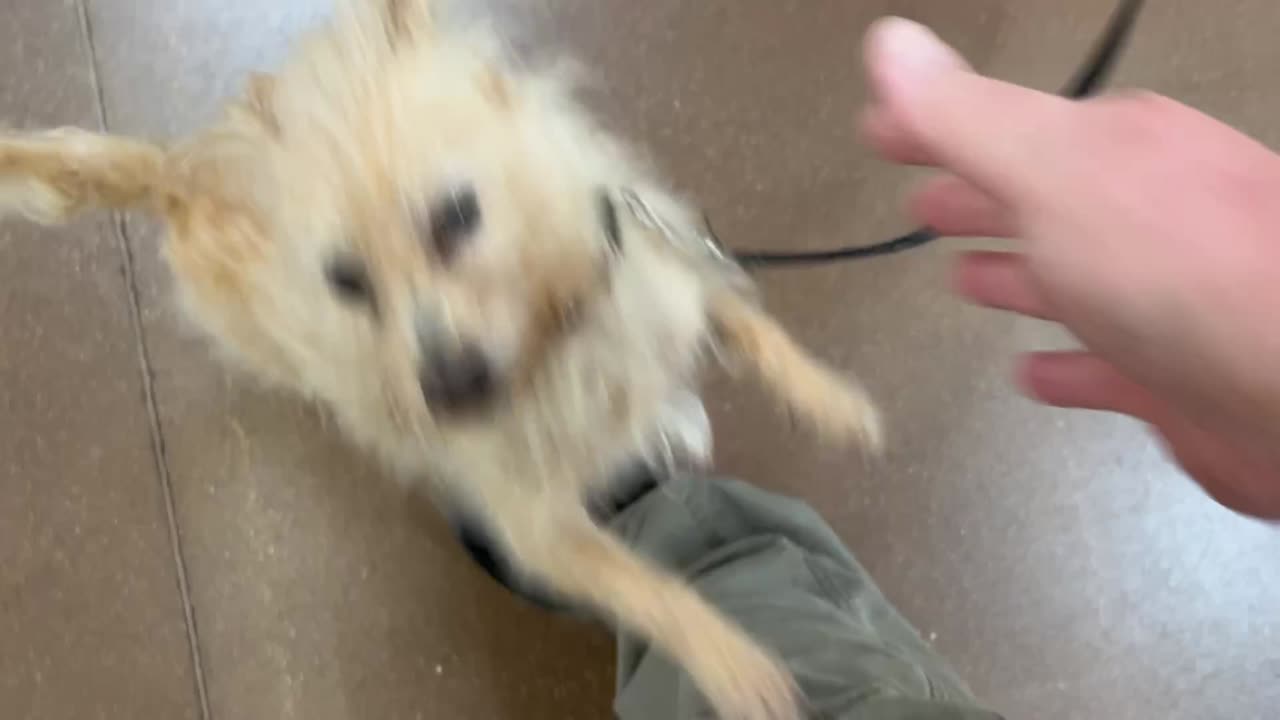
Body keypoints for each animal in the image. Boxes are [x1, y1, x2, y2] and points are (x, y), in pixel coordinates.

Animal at [0, 2, 880, 712]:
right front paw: (733, 664)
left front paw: (834, 403)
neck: (550, 343)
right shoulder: (539, 533)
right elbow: (649, 589)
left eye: (456, 216)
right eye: (344, 279)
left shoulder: (672, 280)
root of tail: (176, 167)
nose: (448, 393)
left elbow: (756, 330)